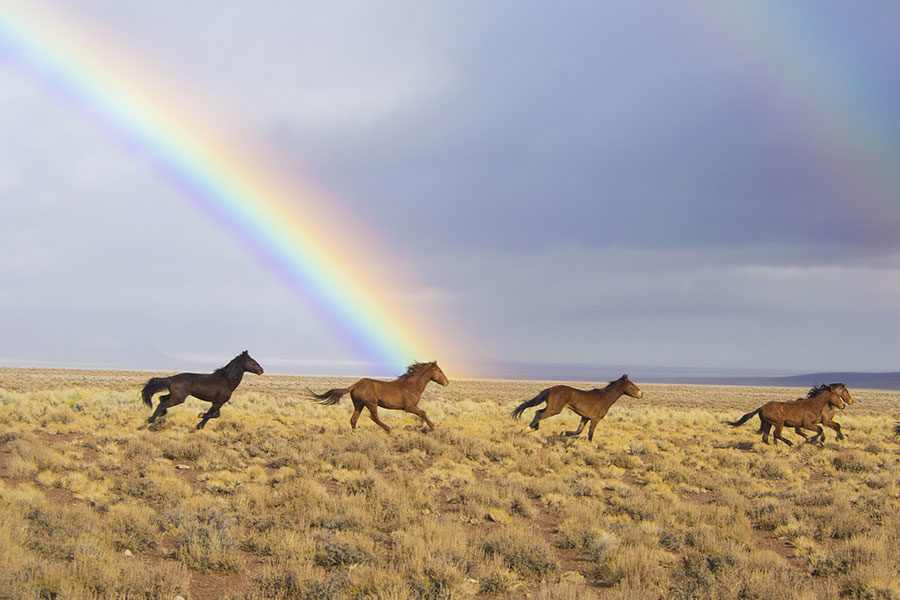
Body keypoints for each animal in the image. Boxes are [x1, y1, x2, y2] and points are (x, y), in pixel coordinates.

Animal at [310, 358, 450, 434]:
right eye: (439, 370)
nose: (447, 382)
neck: (412, 385)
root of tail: (355, 385)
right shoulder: (409, 407)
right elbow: (423, 413)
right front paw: (428, 426)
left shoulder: (412, 407)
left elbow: (422, 413)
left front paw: (421, 426)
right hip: (371, 404)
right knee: (374, 417)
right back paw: (388, 429)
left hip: (359, 405)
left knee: (353, 419)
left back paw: (355, 433)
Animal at [510, 376, 644, 440]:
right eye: (632, 386)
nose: (641, 394)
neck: (605, 398)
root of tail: (551, 389)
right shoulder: (595, 419)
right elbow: (590, 435)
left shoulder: (585, 418)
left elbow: (578, 431)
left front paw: (564, 433)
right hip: (554, 409)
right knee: (539, 414)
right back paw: (527, 429)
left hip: (551, 408)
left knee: (538, 412)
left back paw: (533, 428)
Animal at [728, 384, 856, 446]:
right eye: (836, 395)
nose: (844, 405)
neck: (813, 405)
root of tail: (762, 407)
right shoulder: (808, 424)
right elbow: (820, 429)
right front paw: (815, 440)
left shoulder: (809, 424)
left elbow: (827, 428)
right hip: (778, 423)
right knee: (776, 434)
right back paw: (789, 443)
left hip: (768, 423)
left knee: (766, 437)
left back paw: (774, 445)